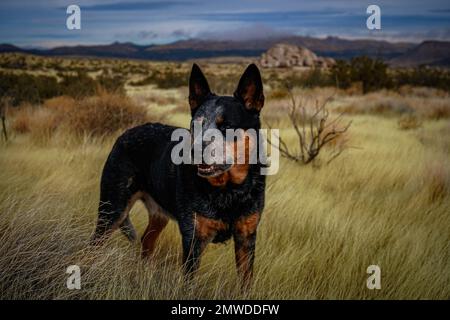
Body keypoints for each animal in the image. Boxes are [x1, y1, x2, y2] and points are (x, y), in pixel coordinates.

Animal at [92, 62, 268, 288]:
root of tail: (125, 133)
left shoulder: (247, 237)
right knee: (93, 245)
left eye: (227, 126)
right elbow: (189, 283)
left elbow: (246, 284)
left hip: (157, 216)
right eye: (195, 125)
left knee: (146, 241)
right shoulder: (193, 239)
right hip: (112, 210)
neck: (228, 190)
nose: (195, 151)